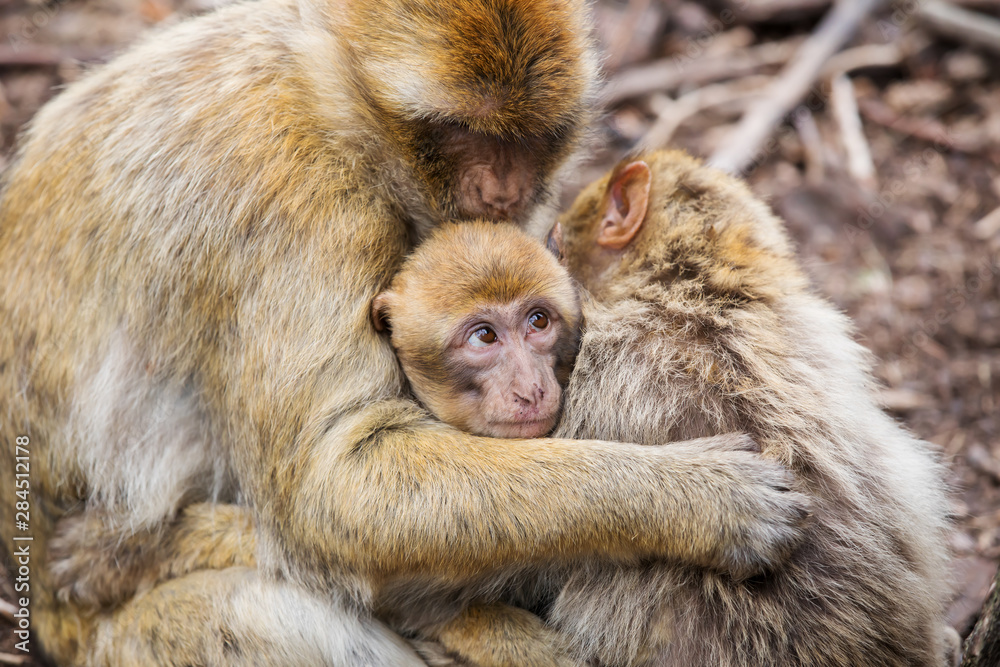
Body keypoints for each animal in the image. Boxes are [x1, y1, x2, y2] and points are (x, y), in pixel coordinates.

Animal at [0, 0, 812, 664]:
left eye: (530, 139)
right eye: (457, 134)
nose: (502, 191)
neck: (324, 93)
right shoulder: (305, 200)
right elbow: (331, 486)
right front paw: (694, 500)